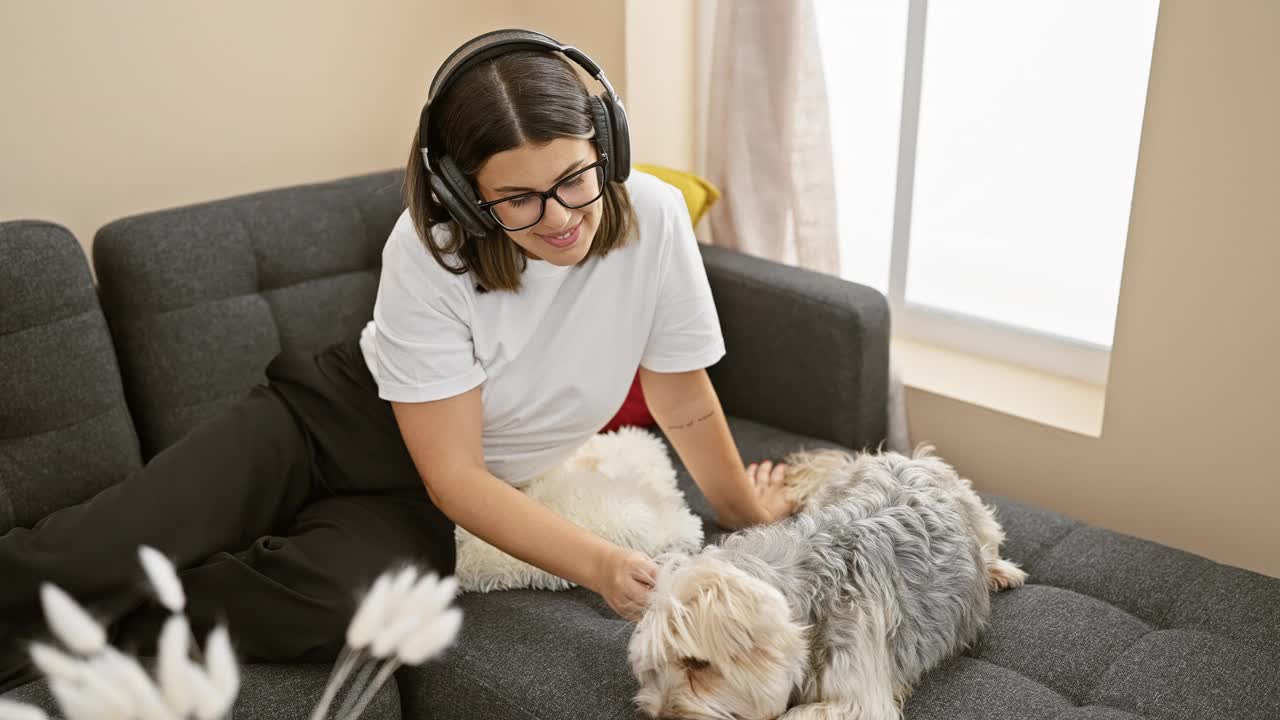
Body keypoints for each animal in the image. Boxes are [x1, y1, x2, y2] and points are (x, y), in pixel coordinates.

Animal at [629, 445, 1029, 712]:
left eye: (697, 664)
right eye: (653, 668)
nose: (659, 714)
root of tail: (895, 455)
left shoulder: (856, 699)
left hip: (972, 509)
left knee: (989, 539)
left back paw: (999, 571)